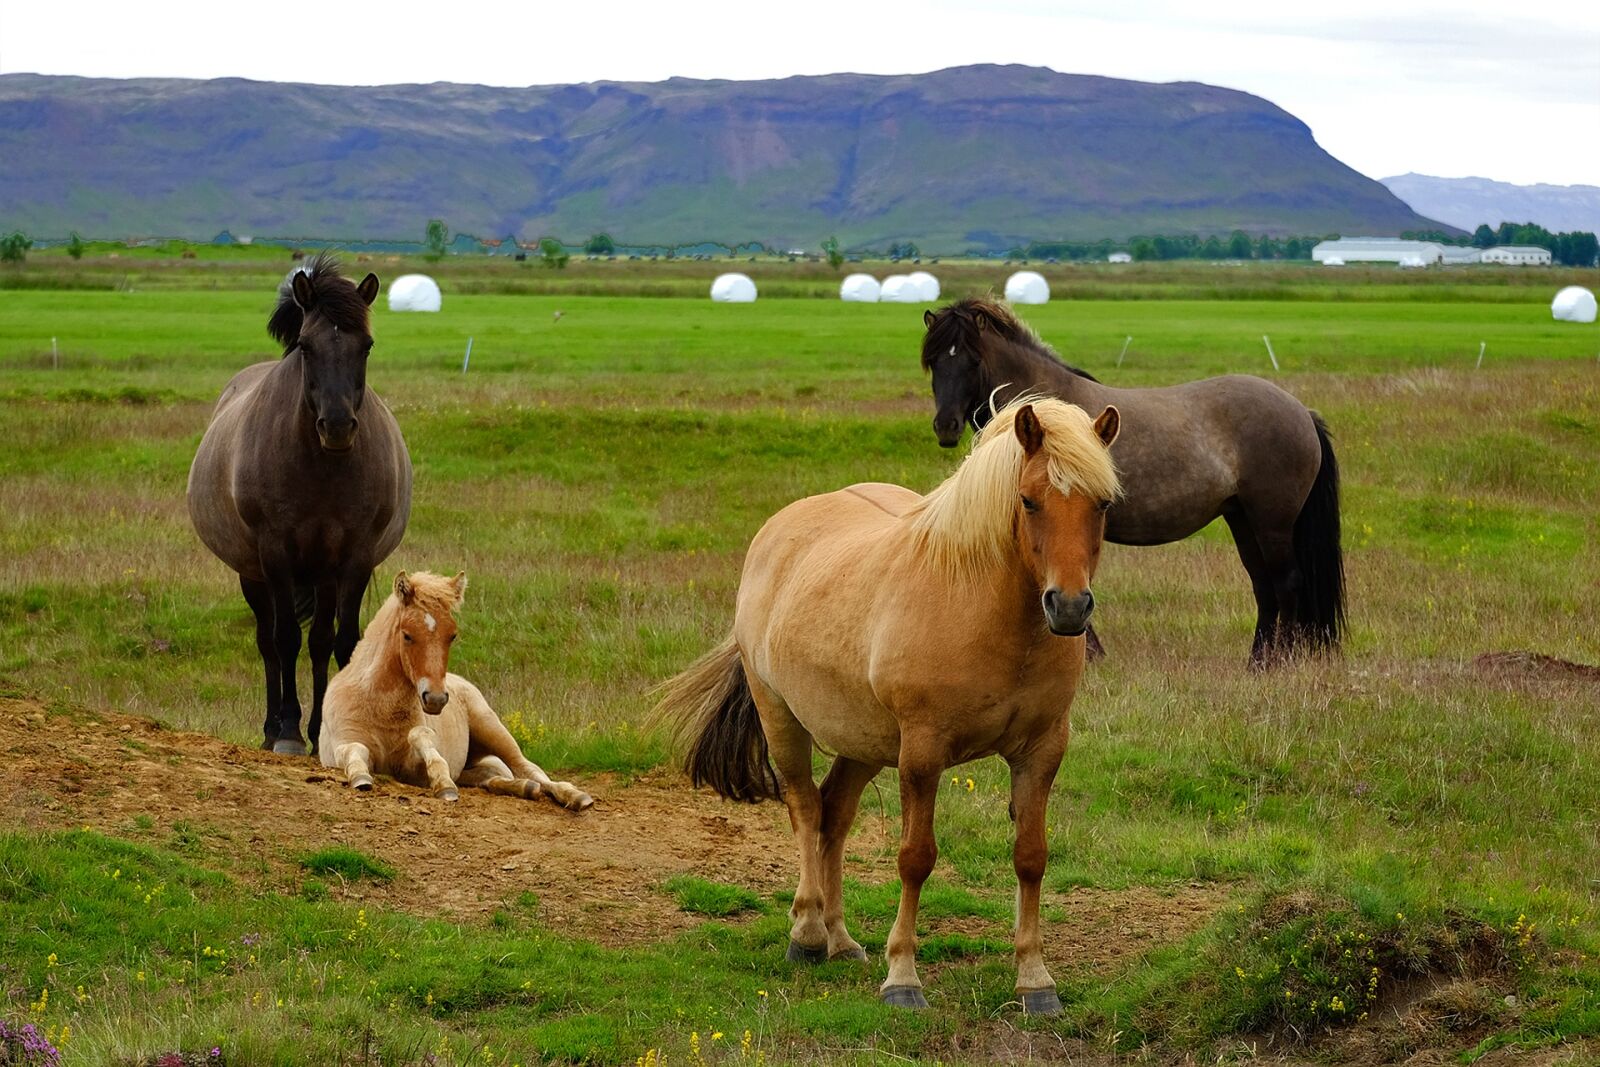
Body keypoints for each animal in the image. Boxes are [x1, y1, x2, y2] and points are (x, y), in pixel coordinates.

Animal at [188, 254, 416, 755]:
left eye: (367, 345)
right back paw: (272, 729)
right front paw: (291, 731)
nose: (337, 426)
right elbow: (286, 639)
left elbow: (338, 642)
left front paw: (328, 730)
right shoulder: (275, 554)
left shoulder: (351, 557)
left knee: (317, 641)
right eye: (307, 348)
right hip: (252, 574)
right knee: (268, 642)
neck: (321, 467)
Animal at [315, 575, 592, 809]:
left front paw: (444, 785)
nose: (436, 699)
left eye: (452, 636)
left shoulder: (413, 769)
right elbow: (355, 752)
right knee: (490, 776)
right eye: (407, 635)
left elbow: (422, 738)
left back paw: (574, 796)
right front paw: (360, 778)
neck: (379, 707)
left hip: (492, 729)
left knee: (528, 768)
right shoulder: (343, 744)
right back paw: (524, 787)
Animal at [656, 396, 1120, 1017]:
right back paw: (807, 934)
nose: (1068, 608)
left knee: (834, 814)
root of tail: (778, 529)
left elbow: (1031, 856)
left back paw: (840, 938)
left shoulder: (1041, 751)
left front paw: (1034, 980)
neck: (985, 608)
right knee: (805, 808)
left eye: (1103, 503)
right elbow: (915, 858)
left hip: (864, 740)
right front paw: (902, 976)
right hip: (782, 719)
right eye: (1028, 500)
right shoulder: (921, 755)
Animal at [921, 299, 1344, 668]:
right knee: (1263, 586)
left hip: (1272, 523)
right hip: (1241, 518)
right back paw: (1256, 662)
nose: (946, 427)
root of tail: (1301, 412)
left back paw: (1279, 662)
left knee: (1286, 583)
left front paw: (1089, 654)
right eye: (934, 362)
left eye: (973, 360)